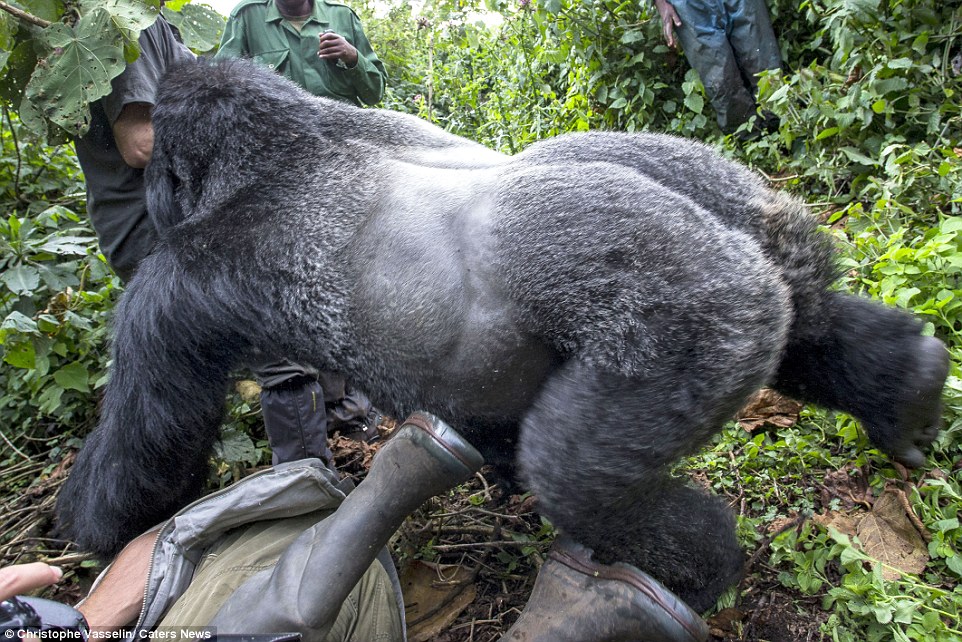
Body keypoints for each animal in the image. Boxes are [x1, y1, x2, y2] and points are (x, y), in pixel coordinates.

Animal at [58, 58, 944, 620]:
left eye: (157, 176)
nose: (148, 189)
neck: (288, 143)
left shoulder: (177, 288)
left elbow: (146, 442)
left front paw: (88, 535)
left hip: (697, 313)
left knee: (579, 476)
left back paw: (698, 571)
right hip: (751, 216)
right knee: (810, 318)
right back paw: (907, 387)